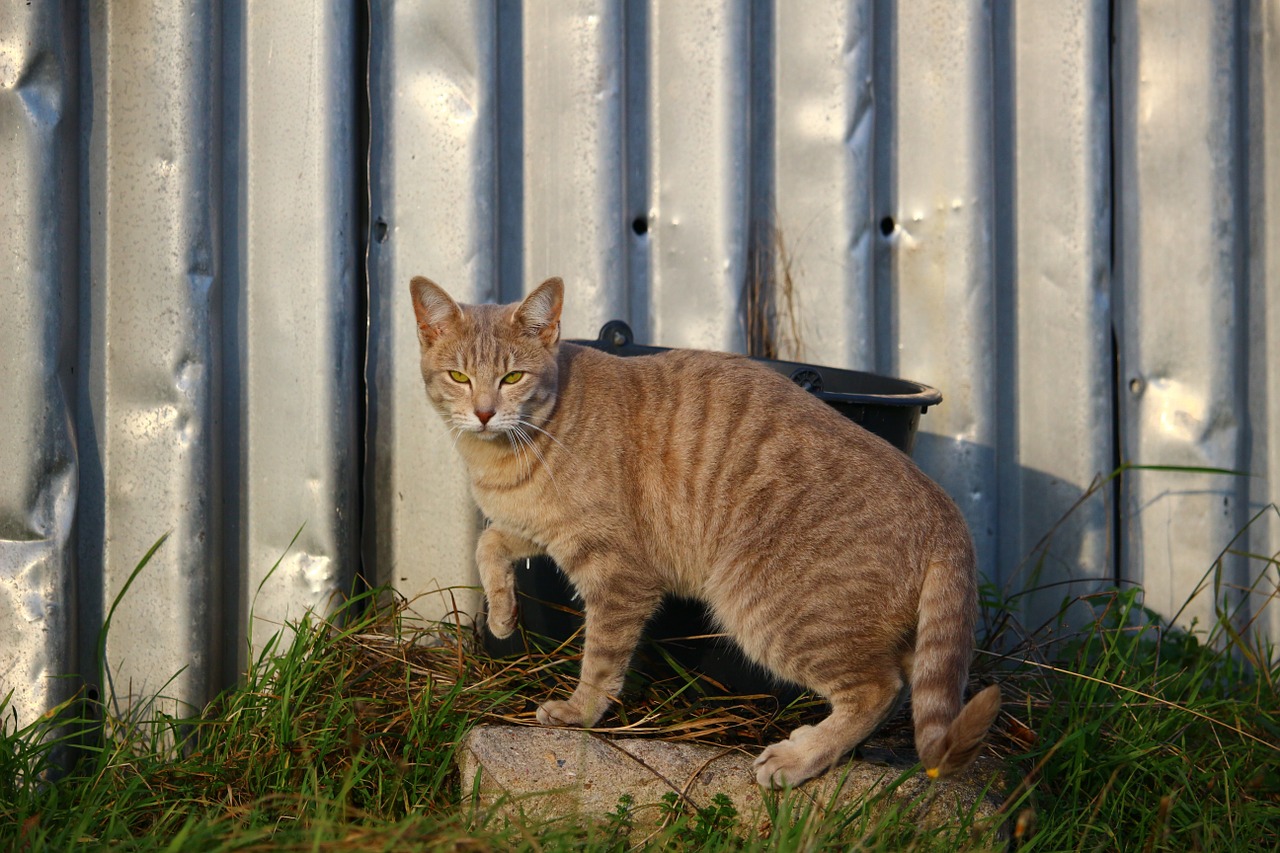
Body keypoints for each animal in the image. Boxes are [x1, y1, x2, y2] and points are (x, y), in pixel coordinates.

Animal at [409, 272, 998, 783]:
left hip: (769, 609)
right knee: (903, 685)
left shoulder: (619, 574)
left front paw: (580, 712)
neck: (512, 452)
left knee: (878, 689)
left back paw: (799, 757)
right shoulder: (539, 532)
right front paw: (503, 616)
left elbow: (601, 659)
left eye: (513, 377)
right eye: (459, 377)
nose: (485, 413)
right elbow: (488, 543)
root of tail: (945, 508)